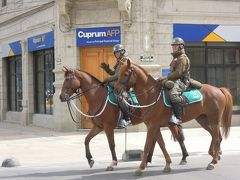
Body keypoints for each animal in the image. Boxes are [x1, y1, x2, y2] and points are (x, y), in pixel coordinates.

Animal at [59, 67, 189, 171]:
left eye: (67, 79)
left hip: (165, 123)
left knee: (177, 137)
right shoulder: (98, 127)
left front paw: (113, 163)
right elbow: (86, 140)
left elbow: (111, 144)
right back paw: (149, 160)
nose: (61, 97)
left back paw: (183, 157)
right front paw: (90, 159)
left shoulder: (108, 127)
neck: (98, 96)